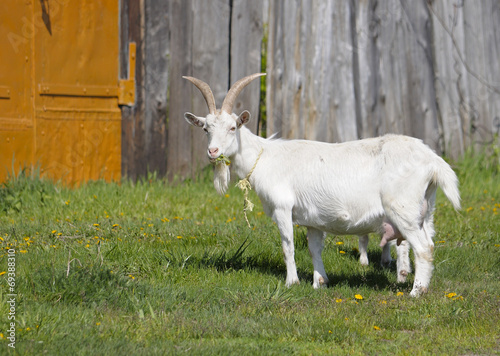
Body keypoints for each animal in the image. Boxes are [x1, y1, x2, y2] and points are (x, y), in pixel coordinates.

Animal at [184, 73, 460, 298]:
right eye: (206, 129)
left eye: (233, 128)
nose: (213, 152)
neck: (266, 157)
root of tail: (433, 160)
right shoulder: (312, 220)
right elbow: (314, 249)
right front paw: (320, 282)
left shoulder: (283, 208)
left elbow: (288, 246)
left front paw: (292, 282)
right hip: (426, 210)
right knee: (429, 241)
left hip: (403, 209)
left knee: (423, 248)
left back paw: (416, 292)